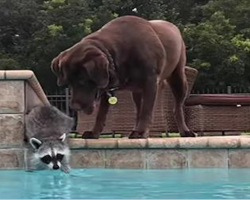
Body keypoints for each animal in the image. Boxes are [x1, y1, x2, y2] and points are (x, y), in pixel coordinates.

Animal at [50, 15, 195, 138]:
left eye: (82, 80)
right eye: (69, 83)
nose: (74, 107)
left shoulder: (151, 81)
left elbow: (146, 111)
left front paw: (141, 132)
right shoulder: (106, 87)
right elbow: (101, 114)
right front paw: (94, 132)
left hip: (178, 77)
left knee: (177, 108)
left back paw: (184, 131)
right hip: (137, 91)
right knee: (138, 109)